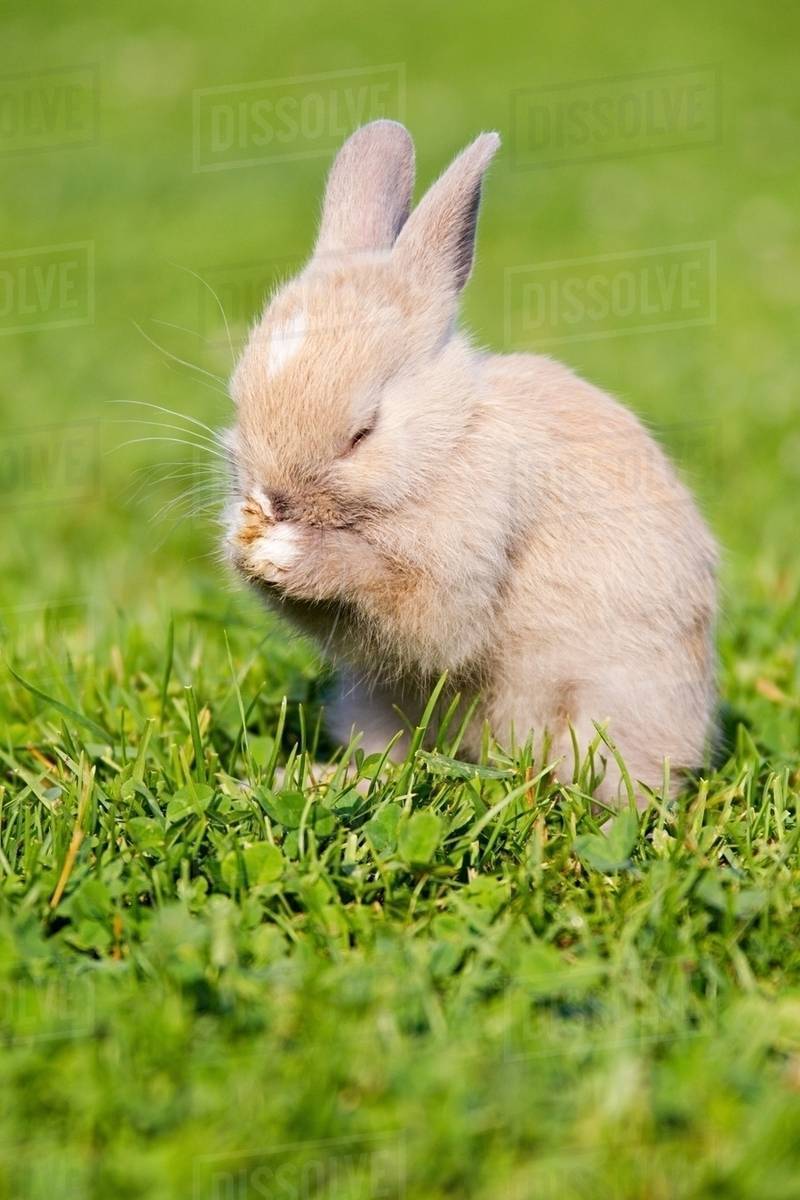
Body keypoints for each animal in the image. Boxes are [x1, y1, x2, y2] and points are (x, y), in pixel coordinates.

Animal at [223, 119, 717, 804]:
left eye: (363, 432)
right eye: (237, 401)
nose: (273, 499)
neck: (447, 441)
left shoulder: (467, 555)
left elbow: (421, 612)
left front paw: (292, 553)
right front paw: (245, 544)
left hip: (612, 709)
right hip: (374, 704)